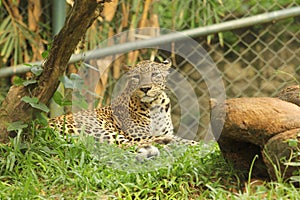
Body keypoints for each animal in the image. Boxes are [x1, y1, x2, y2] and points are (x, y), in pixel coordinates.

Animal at [48, 59, 199, 159]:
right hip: (99, 130)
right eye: (136, 77)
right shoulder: (136, 134)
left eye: (155, 74)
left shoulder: (166, 131)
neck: (155, 106)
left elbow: (180, 138)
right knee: (122, 146)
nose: (145, 88)